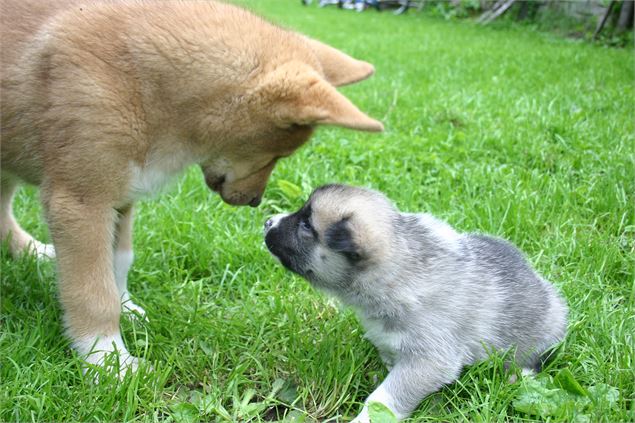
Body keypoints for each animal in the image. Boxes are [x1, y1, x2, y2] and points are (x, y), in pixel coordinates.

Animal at [1, 0, 382, 374]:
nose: (255, 202)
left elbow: (119, 261)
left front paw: (127, 309)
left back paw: (31, 251)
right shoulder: (81, 203)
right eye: (276, 152)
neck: (144, 83)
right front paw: (108, 361)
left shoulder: (122, 196)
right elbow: (94, 294)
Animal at [260, 184, 568, 422]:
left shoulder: (429, 360)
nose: (267, 221)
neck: (396, 269)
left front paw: (367, 416)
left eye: (306, 225)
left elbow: (386, 396)